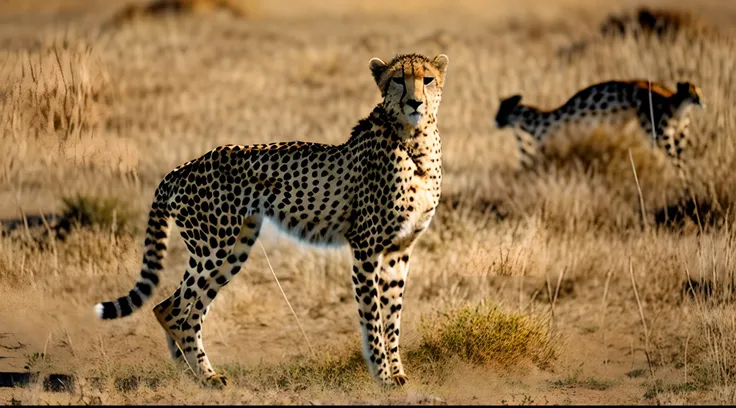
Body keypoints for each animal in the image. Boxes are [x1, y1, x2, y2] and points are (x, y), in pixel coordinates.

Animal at [92, 52, 448, 388]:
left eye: (427, 79)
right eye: (398, 79)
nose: (414, 102)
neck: (415, 139)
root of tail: (182, 167)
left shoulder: (399, 250)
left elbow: (392, 317)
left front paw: (398, 373)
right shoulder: (366, 246)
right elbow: (372, 317)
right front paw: (383, 377)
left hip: (235, 247)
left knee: (189, 314)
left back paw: (201, 377)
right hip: (213, 247)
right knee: (170, 310)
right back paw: (200, 376)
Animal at [492, 79, 704, 179]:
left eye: (503, 110)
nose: (495, 121)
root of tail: (671, 96)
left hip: (658, 134)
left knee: (677, 165)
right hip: (678, 138)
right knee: (683, 165)